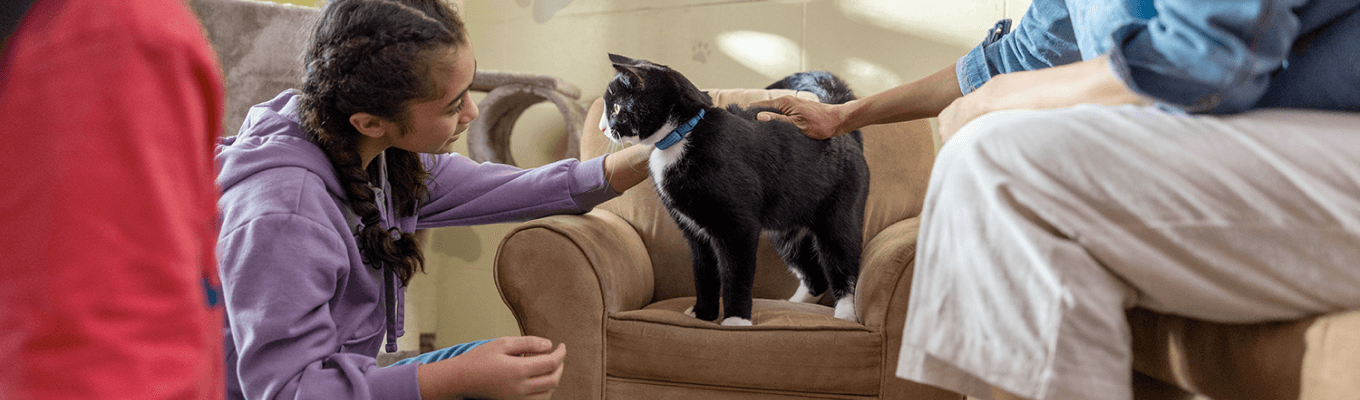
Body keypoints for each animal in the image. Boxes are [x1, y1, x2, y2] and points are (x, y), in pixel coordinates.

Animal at [601, 53, 864, 326]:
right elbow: (704, 273)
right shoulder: (695, 232)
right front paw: (703, 313)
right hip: (786, 229)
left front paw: (736, 320)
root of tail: (844, 132)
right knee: (815, 275)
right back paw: (796, 303)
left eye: (617, 107)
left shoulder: (738, 228)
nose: (602, 127)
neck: (684, 134)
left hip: (837, 216)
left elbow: (735, 274)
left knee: (842, 262)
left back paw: (845, 313)